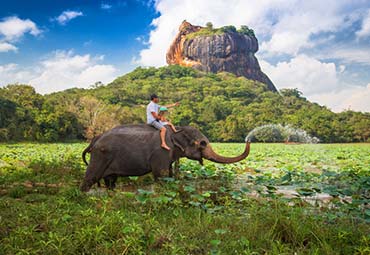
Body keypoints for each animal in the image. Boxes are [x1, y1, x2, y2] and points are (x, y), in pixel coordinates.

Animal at [79, 124, 250, 192]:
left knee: (110, 182)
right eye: (202, 144)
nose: (248, 139)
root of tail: (94, 140)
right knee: (90, 178)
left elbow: (169, 174)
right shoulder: (161, 152)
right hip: (99, 157)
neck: (177, 129)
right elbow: (161, 175)